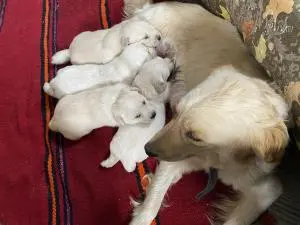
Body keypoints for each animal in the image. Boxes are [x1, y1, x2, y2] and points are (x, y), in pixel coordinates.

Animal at [123, 0, 290, 225]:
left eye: (195, 136)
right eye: (177, 112)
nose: (147, 150)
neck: (219, 159)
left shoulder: (266, 190)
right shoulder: (173, 161)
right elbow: (150, 207)